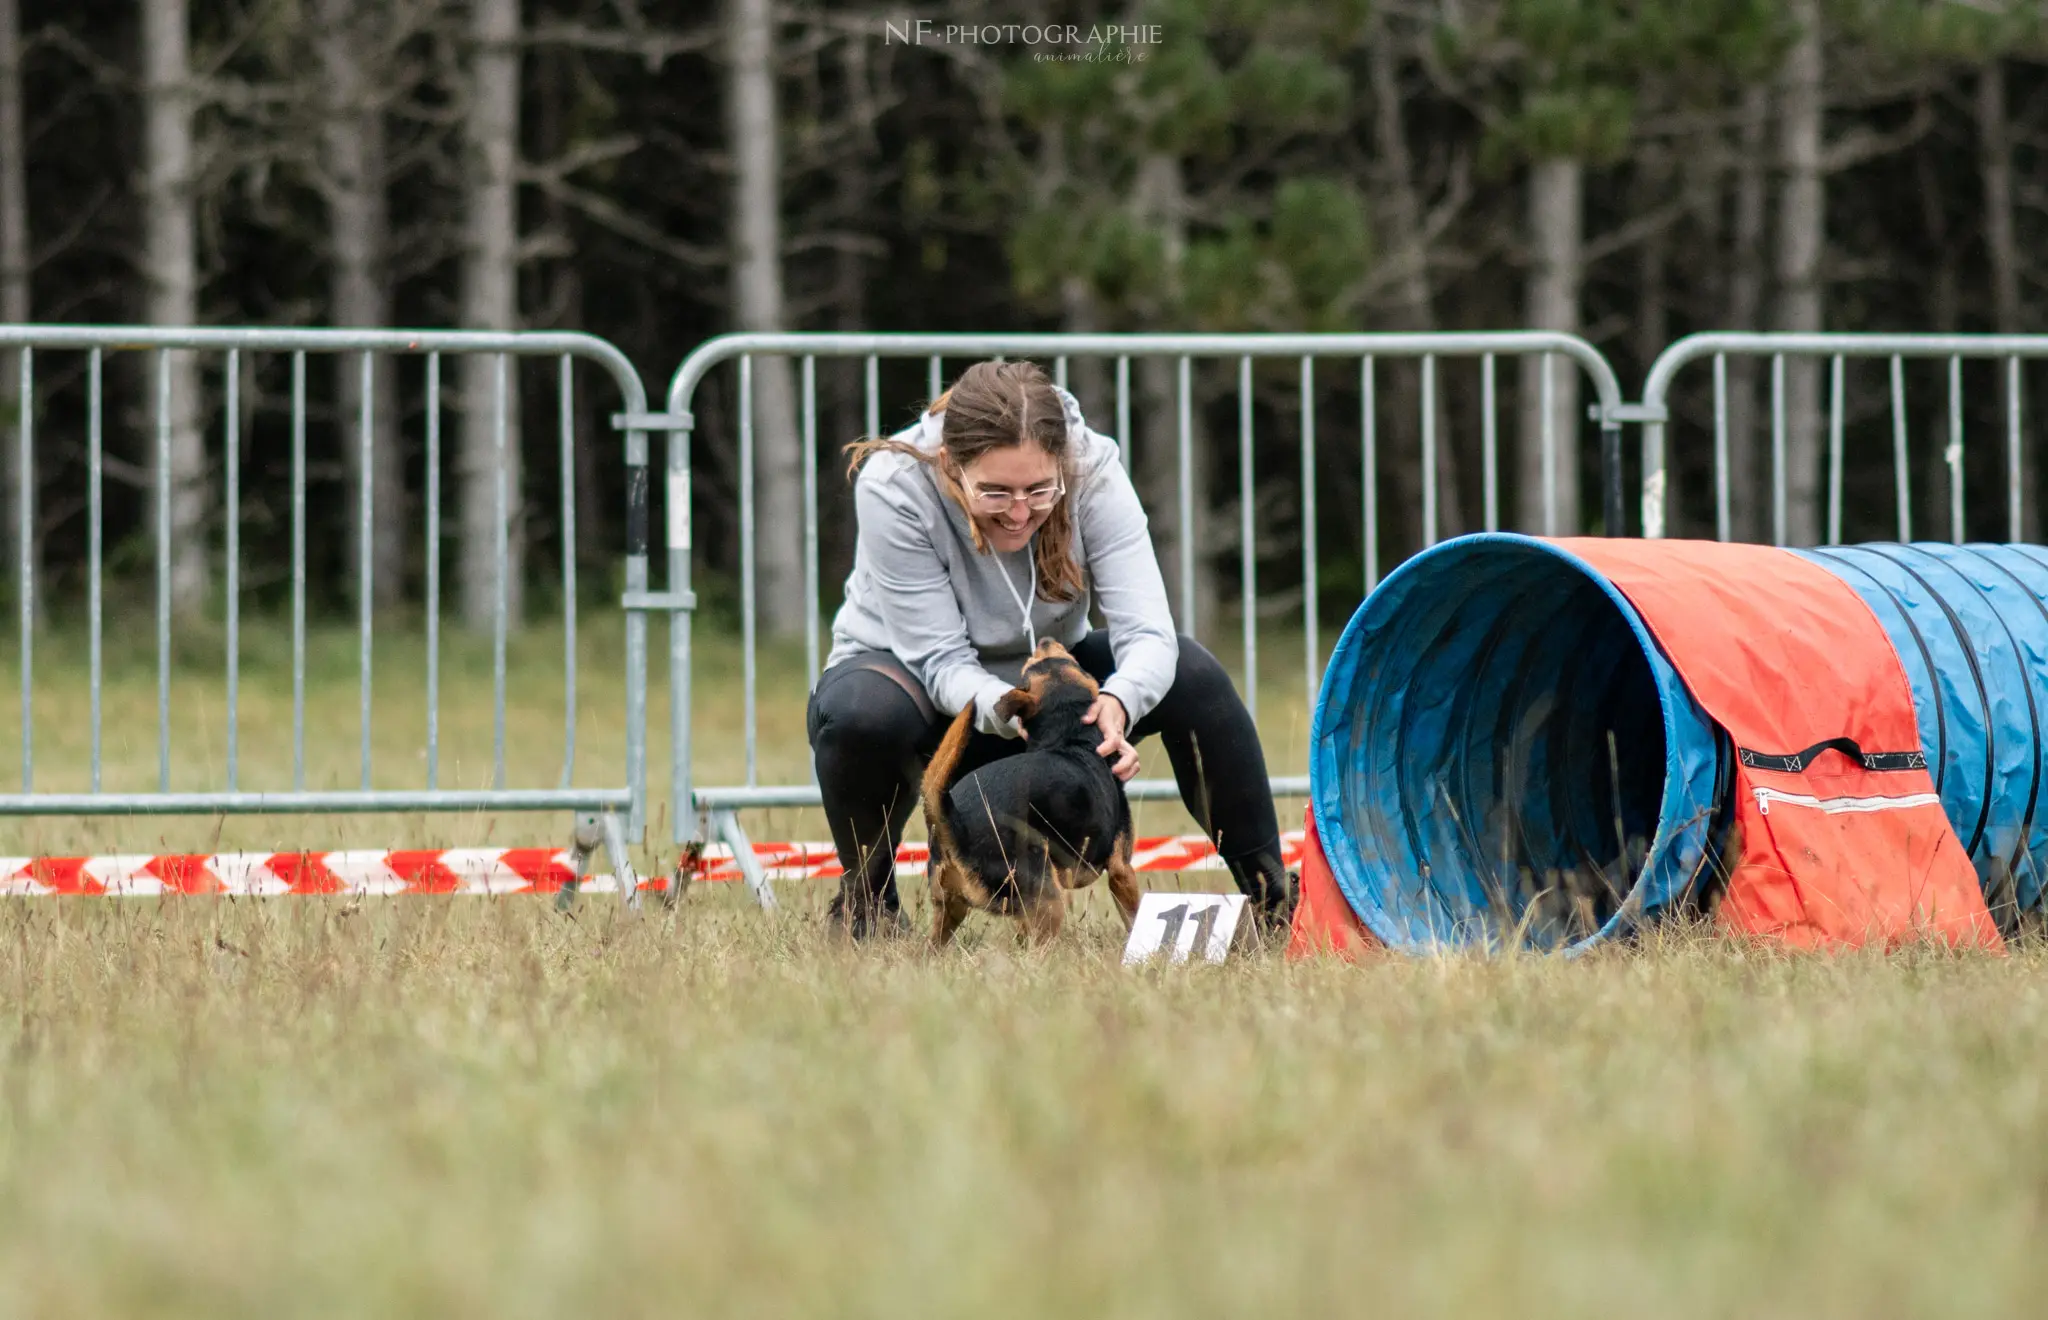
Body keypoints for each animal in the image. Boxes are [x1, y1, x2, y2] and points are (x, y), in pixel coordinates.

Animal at [921, 634, 1146, 937]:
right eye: (1074, 662)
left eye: (1034, 666)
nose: (1045, 639)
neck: (1069, 736)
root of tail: (954, 823)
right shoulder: (1122, 870)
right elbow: (1134, 917)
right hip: (1048, 898)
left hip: (949, 911)